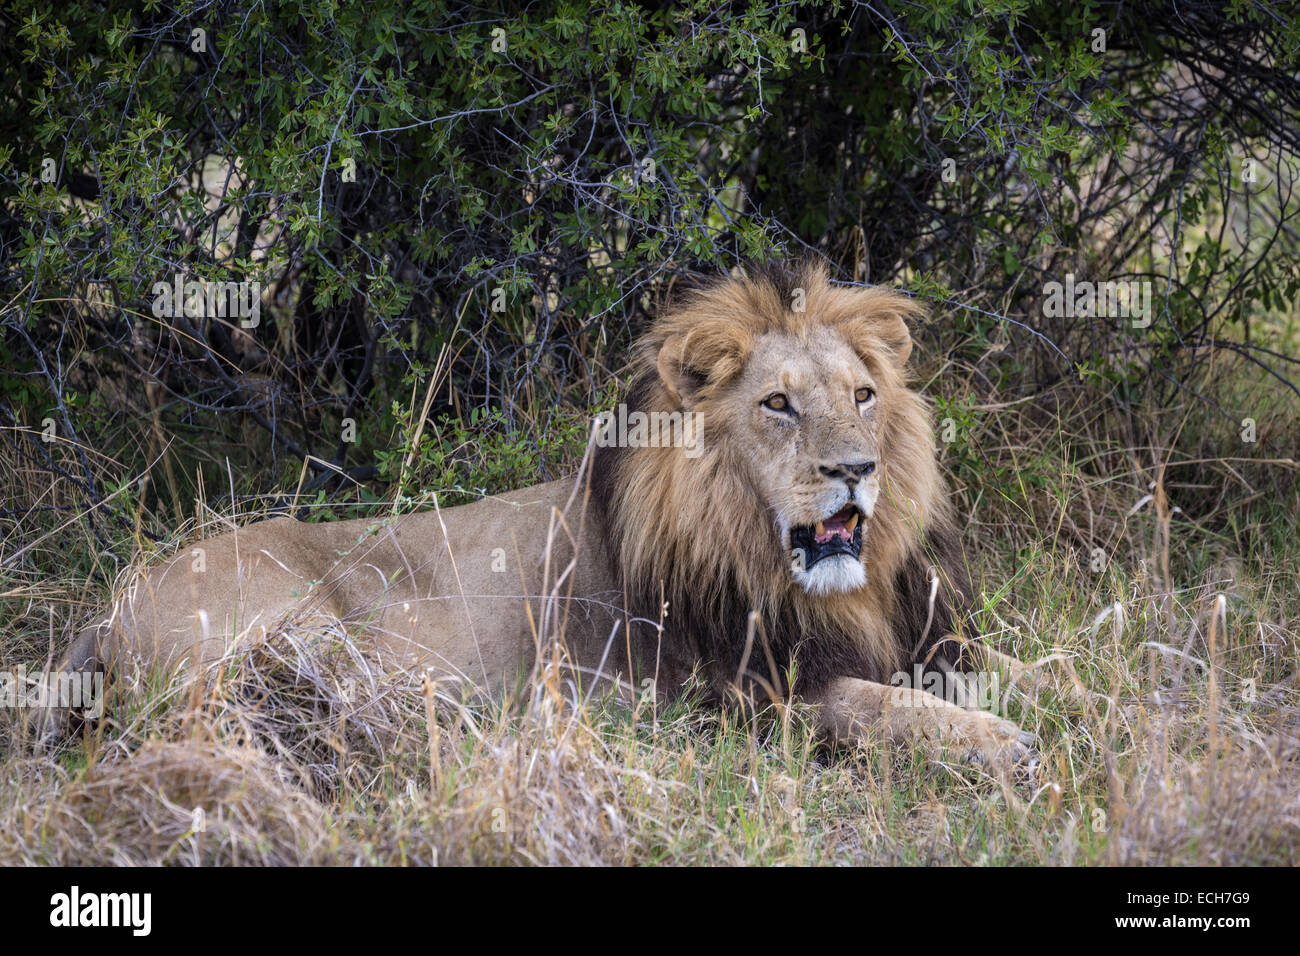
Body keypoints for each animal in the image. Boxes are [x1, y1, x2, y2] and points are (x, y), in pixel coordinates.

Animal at [38, 264, 1045, 770]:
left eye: (864, 395)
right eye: (778, 405)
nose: (856, 471)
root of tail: (106, 612)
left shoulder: (921, 634)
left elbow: (1017, 671)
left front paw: (1055, 697)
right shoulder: (735, 695)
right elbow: (877, 705)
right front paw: (1001, 743)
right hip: (303, 642)